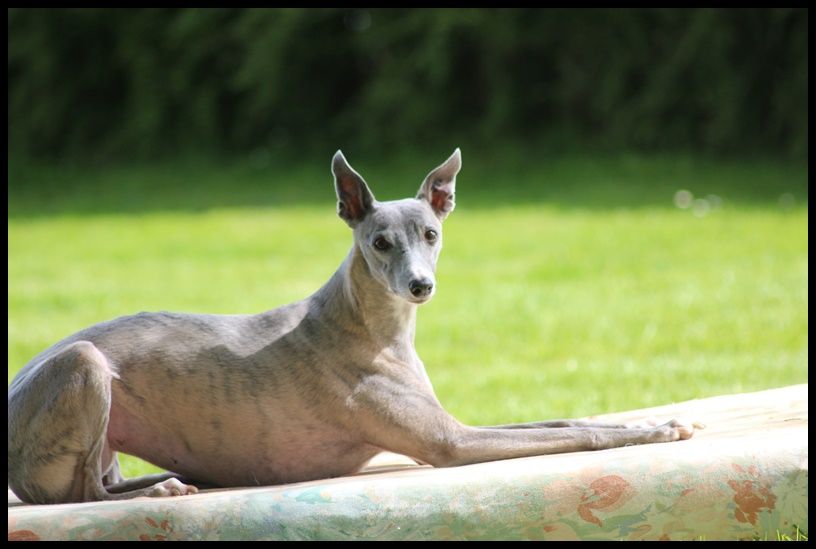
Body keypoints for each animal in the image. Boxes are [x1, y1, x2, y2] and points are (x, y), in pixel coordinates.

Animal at [6, 148, 696, 504]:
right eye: (379, 242)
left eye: (431, 233)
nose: (420, 286)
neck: (372, 328)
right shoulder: (450, 443)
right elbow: (576, 436)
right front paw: (657, 431)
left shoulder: (454, 423)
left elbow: (563, 420)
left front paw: (652, 421)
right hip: (86, 363)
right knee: (82, 496)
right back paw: (156, 494)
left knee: (101, 481)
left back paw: (175, 480)